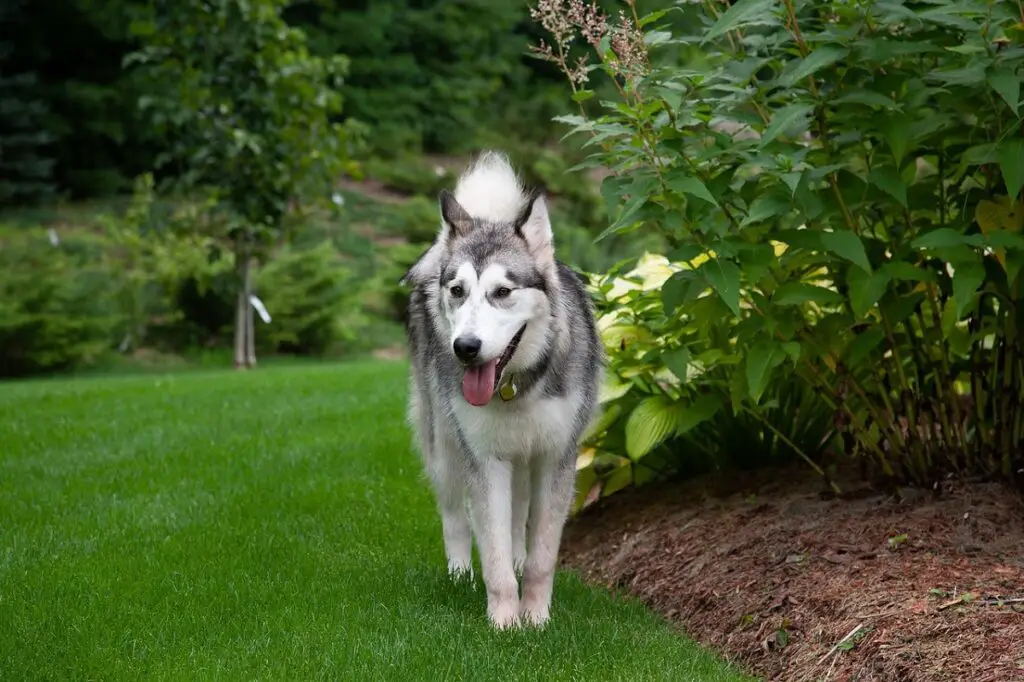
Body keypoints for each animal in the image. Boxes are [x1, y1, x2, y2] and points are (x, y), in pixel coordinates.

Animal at [401, 150, 606, 626]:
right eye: (458, 290)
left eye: (502, 291)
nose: (465, 348)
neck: (516, 387)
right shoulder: (485, 460)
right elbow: (491, 556)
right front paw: (504, 624)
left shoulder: (554, 458)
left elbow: (541, 556)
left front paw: (536, 618)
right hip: (444, 445)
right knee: (454, 515)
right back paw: (458, 574)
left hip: (523, 458)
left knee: (517, 517)